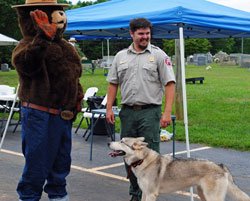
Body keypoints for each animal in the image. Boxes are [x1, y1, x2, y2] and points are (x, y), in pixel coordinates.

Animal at [108, 137, 250, 201]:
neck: (143, 161)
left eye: (122, 141)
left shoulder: (151, 194)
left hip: (211, 197)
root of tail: (221, 165)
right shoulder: (144, 193)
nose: (109, 142)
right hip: (203, 194)